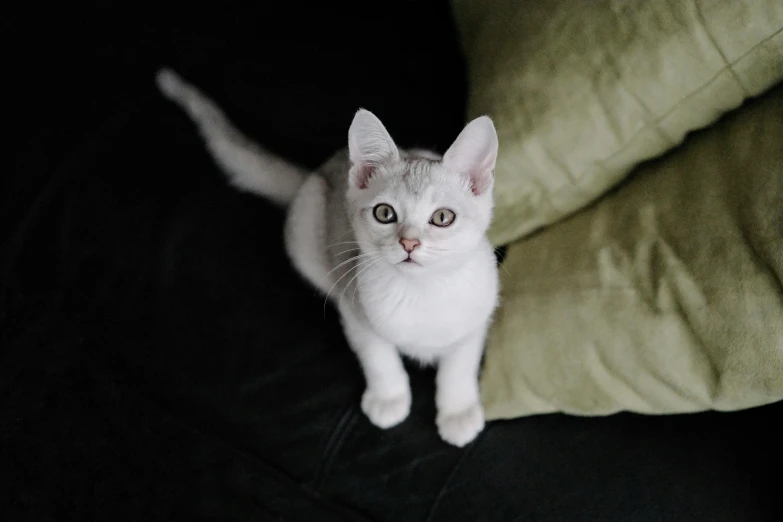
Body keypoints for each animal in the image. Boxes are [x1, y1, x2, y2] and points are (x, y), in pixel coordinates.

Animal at [158, 68, 500, 442]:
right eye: (384, 213)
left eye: (442, 218)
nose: (409, 243)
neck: (421, 292)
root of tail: (316, 172)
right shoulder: (356, 311)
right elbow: (378, 356)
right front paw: (389, 398)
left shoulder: (477, 318)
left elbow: (460, 365)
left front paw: (458, 411)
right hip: (308, 227)